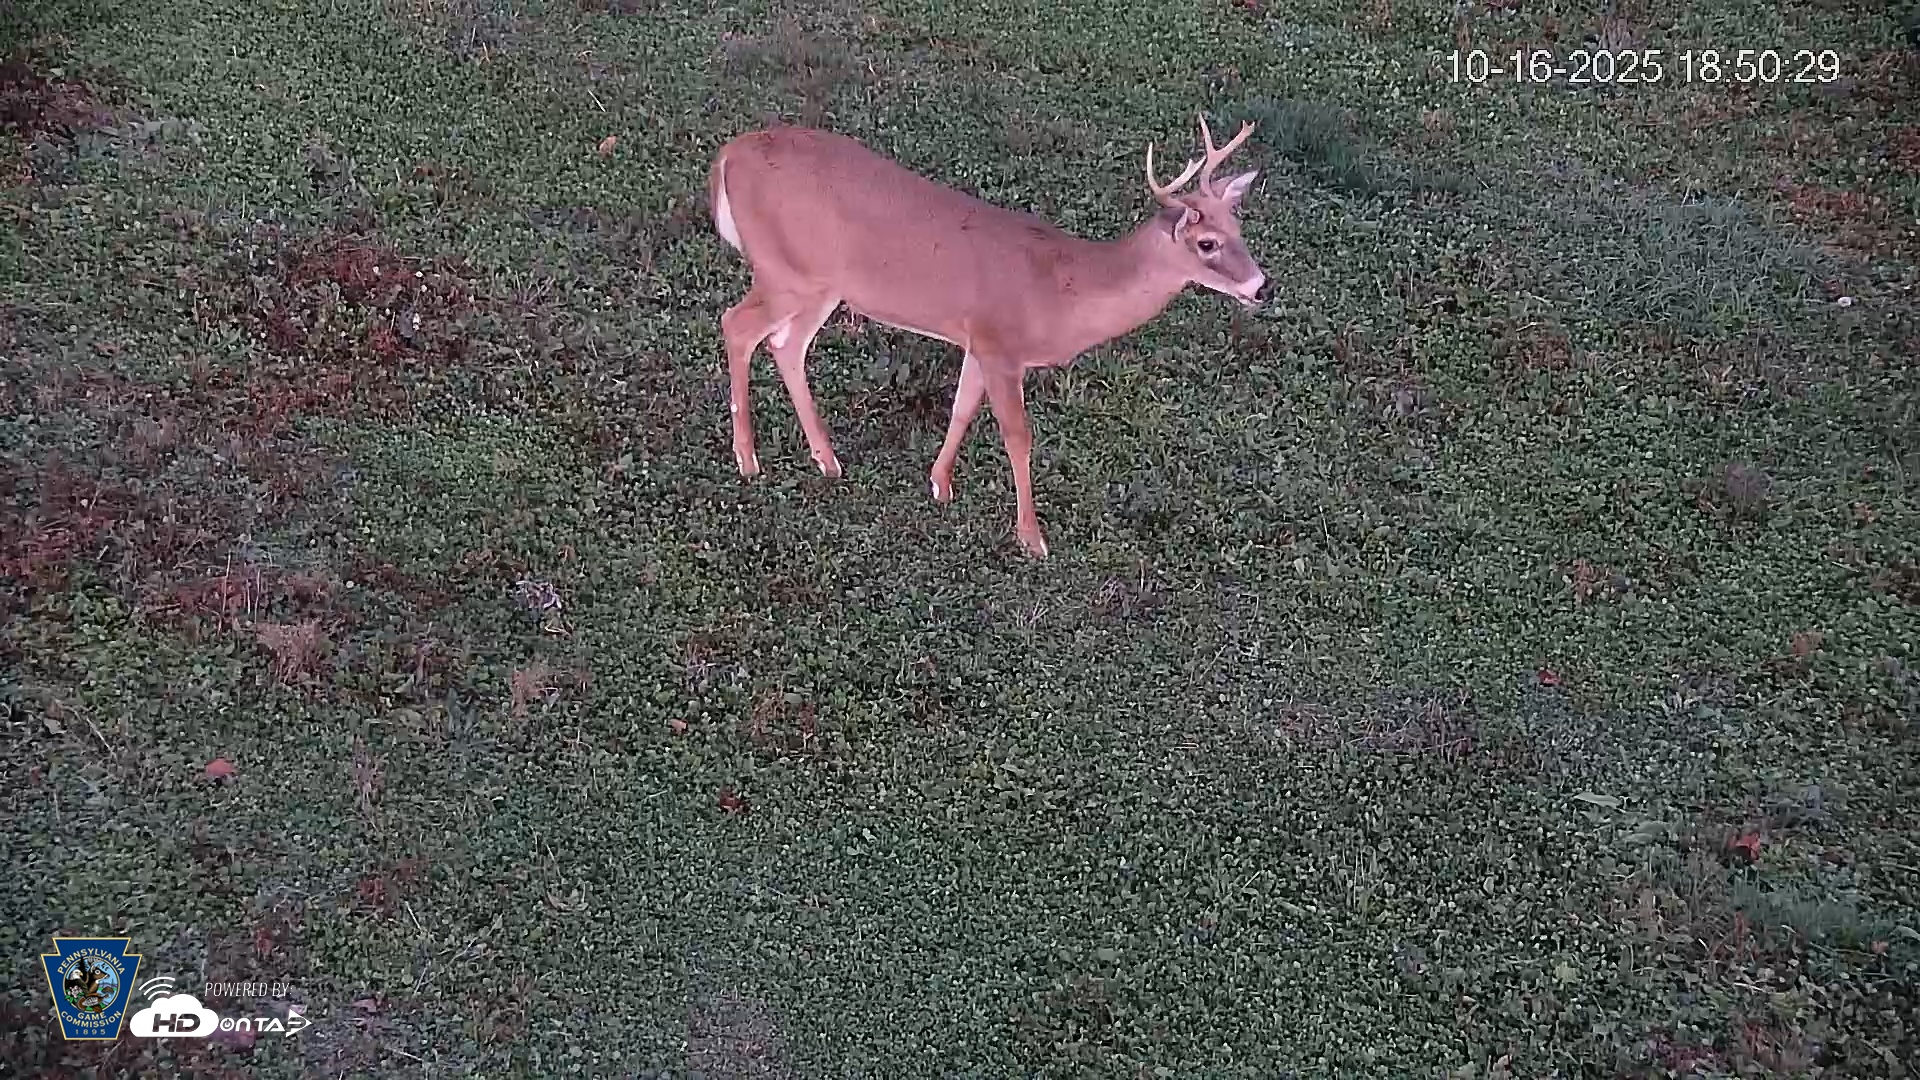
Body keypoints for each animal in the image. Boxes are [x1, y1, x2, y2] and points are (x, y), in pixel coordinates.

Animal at [707, 112, 1266, 558]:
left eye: (1241, 231)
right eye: (1207, 243)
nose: (1263, 286)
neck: (1063, 288)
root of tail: (728, 155)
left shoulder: (977, 340)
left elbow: (961, 407)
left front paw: (940, 485)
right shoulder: (1002, 345)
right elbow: (1018, 435)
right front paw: (1032, 538)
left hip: (820, 285)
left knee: (786, 345)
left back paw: (828, 461)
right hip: (783, 271)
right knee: (737, 325)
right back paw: (748, 460)